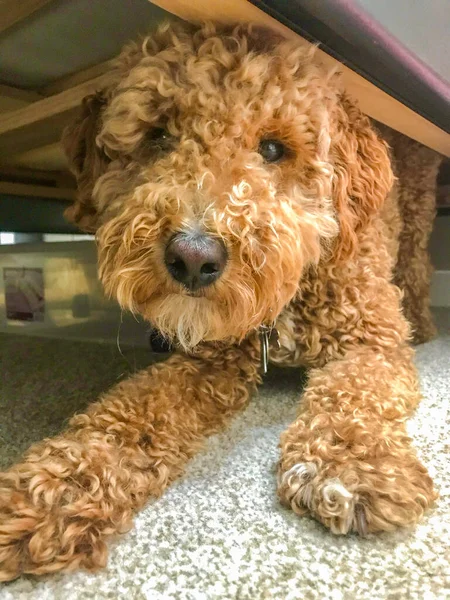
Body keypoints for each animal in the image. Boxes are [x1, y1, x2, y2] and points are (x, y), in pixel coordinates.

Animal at [0, 21, 438, 580]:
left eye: (272, 148)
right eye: (157, 135)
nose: (192, 257)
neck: (287, 297)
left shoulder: (372, 344)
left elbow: (354, 395)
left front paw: (351, 465)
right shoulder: (209, 358)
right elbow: (137, 408)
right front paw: (57, 487)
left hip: (418, 211)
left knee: (417, 267)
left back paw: (425, 324)